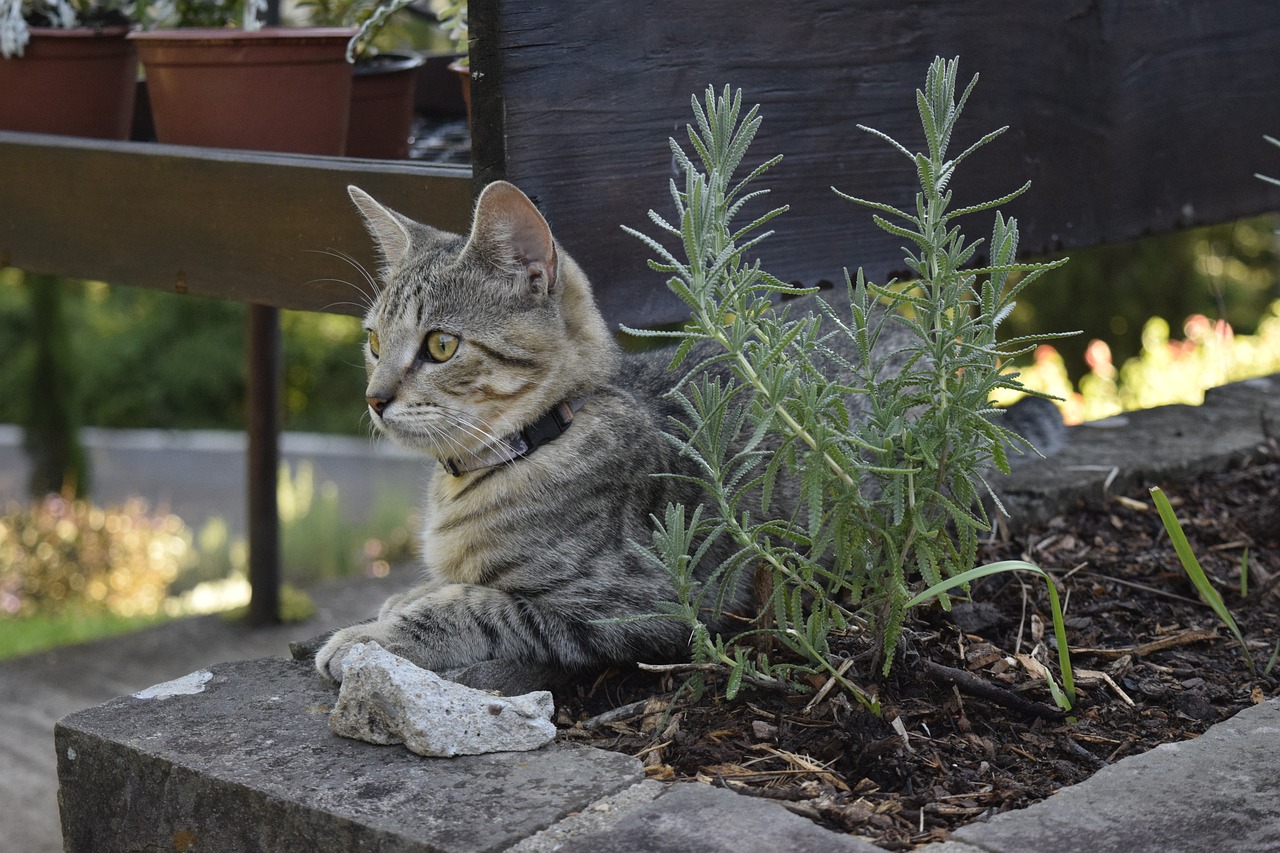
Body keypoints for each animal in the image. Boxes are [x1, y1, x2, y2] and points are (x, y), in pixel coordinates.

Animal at [314, 180, 1064, 686]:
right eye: (375, 341)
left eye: (440, 346)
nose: (374, 398)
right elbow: (442, 587)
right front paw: (400, 598)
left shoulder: (644, 602)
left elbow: (478, 605)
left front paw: (367, 635)